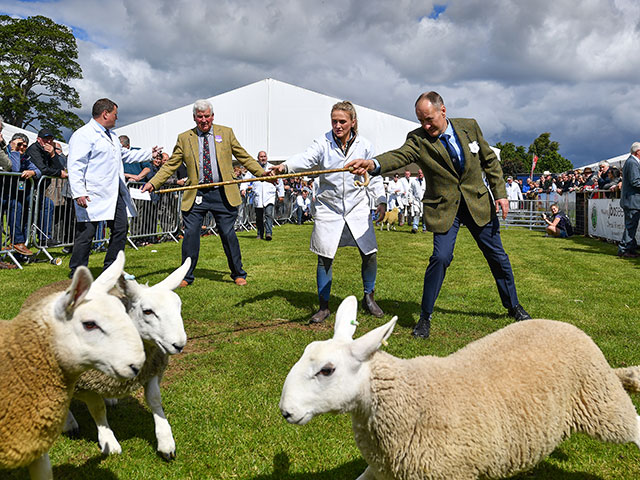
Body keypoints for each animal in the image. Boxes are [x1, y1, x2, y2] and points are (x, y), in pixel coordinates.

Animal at [62, 258, 192, 462]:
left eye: (179, 307)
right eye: (148, 311)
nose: (179, 344)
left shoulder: (152, 369)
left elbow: (155, 399)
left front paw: (166, 442)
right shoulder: (86, 383)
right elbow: (97, 409)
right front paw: (109, 441)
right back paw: (69, 423)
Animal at [282, 296, 640, 480]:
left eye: (327, 370)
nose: (285, 412)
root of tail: (569, 326)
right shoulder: (384, 470)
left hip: (601, 403)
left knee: (634, 426)